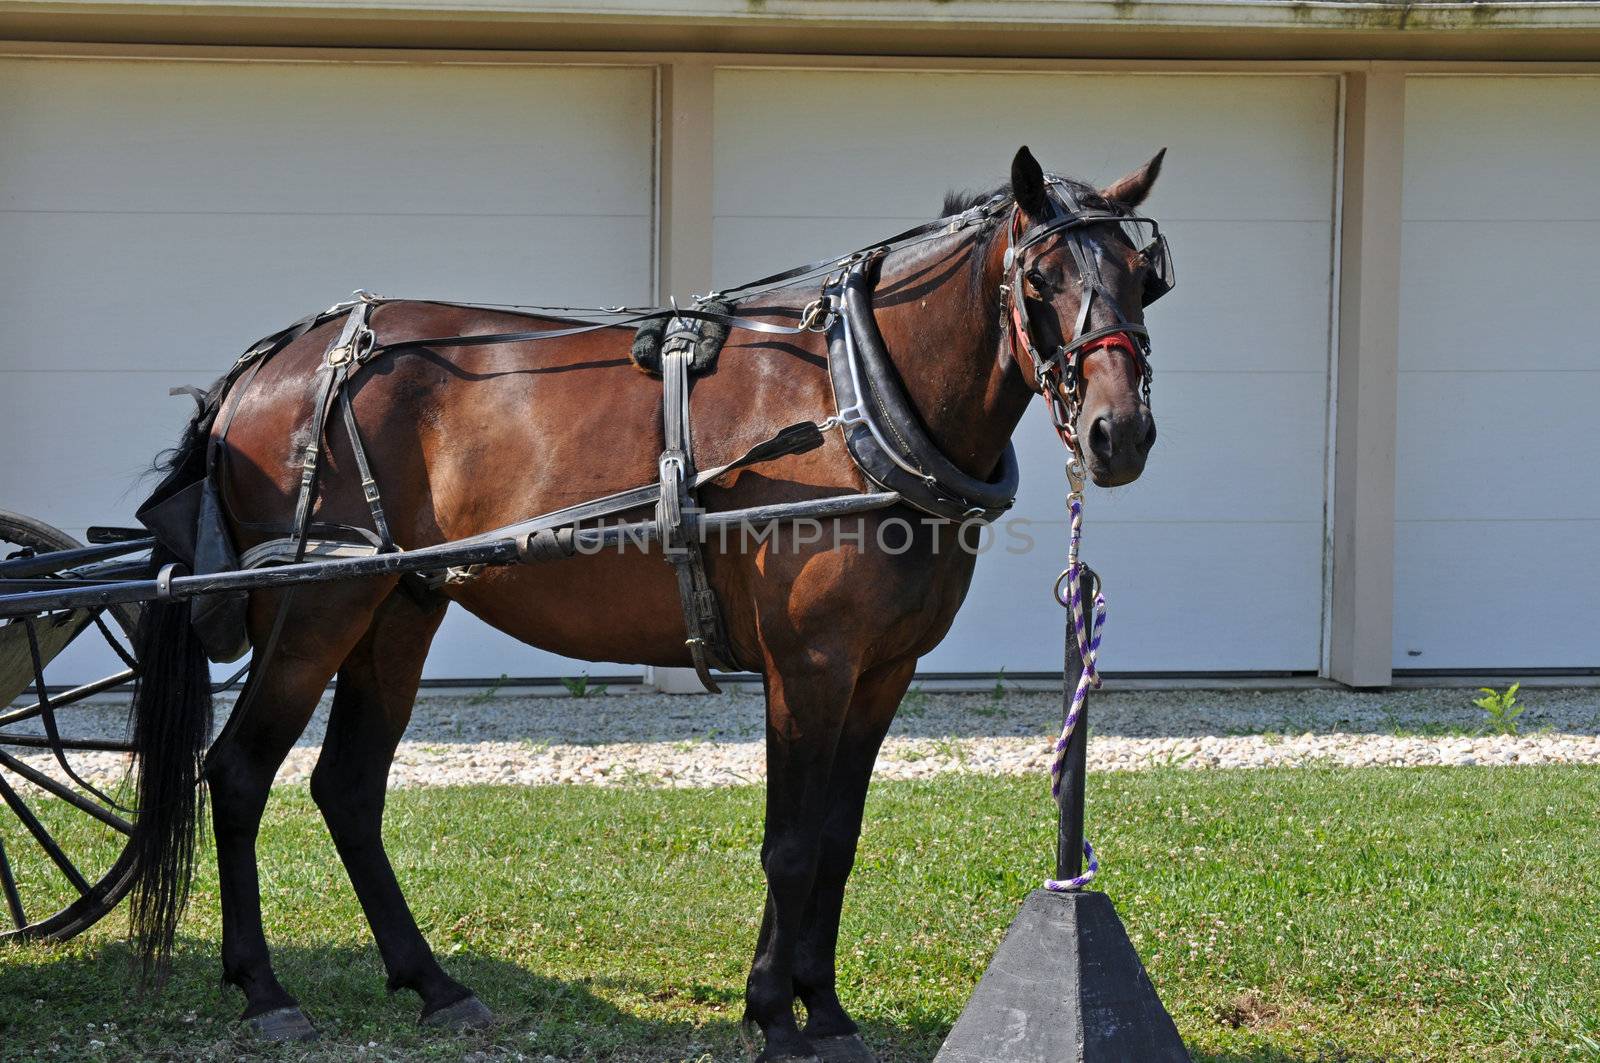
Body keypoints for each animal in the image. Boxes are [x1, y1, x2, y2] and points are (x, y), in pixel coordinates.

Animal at [118, 145, 1158, 1056]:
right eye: (1042, 279)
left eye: (1145, 277)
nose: (1121, 434)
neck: (855, 401)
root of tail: (270, 365)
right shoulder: (809, 666)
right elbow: (790, 843)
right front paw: (776, 1017)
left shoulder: (882, 670)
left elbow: (835, 838)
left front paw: (821, 1008)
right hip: (317, 609)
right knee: (239, 772)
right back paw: (264, 990)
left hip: (399, 606)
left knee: (347, 786)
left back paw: (435, 983)